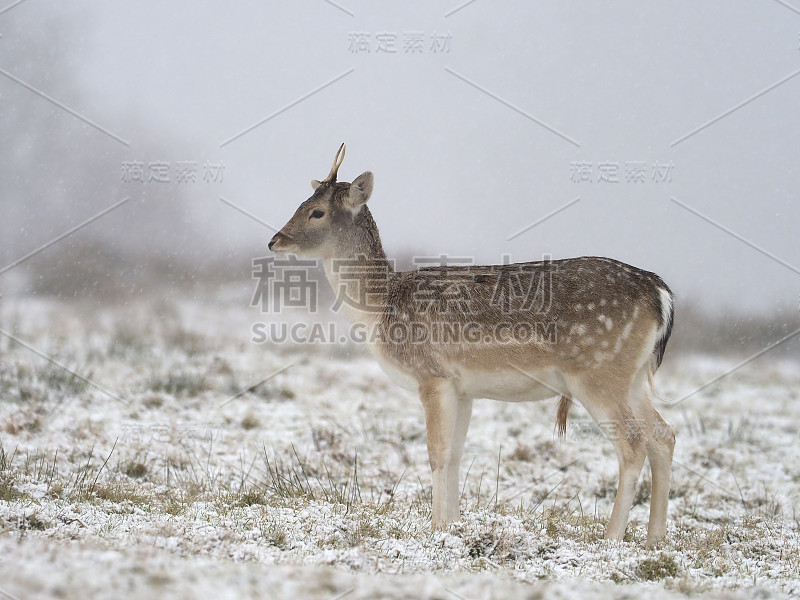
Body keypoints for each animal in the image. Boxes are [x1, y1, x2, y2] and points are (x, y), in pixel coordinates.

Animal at [268, 143, 676, 548]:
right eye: (304, 202)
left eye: (317, 212)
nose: (275, 241)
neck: (380, 310)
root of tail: (660, 294)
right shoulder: (463, 388)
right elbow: (455, 455)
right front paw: (453, 526)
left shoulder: (431, 374)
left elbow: (436, 453)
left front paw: (435, 528)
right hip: (632, 377)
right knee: (663, 435)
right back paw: (655, 538)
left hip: (598, 372)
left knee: (633, 444)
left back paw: (611, 537)